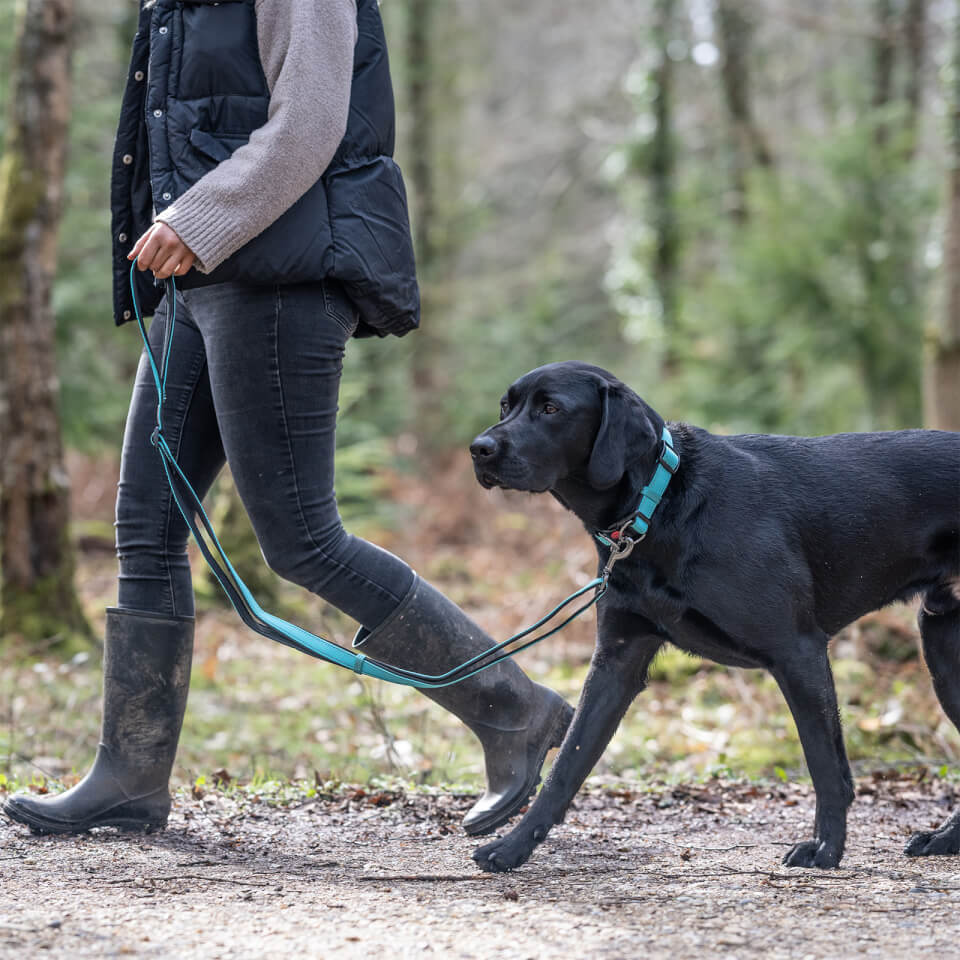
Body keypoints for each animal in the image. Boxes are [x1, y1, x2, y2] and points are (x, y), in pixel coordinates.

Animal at [468, 360, 960, 872]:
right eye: (505, 406)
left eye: (551, 408)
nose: (478, 449)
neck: (661, 503)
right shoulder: (617, 661)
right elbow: (567, 766)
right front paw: (512, 846)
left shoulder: (798, 651)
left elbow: (826, 766)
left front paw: (826, 848)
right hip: (943, 647)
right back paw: (945, 839)